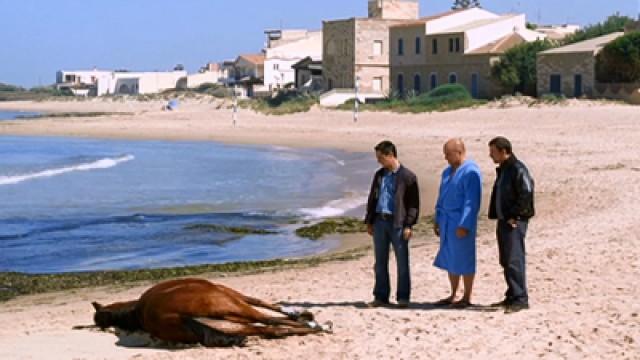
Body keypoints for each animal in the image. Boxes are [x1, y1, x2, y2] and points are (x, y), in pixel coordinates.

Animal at [92, 278, 332, 348]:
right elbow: (268, 305)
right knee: (267, 320)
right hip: (232, 305)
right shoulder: (231, 293)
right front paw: (302, 314)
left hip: (232, 321)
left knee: (273, 329)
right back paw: (320, 326)